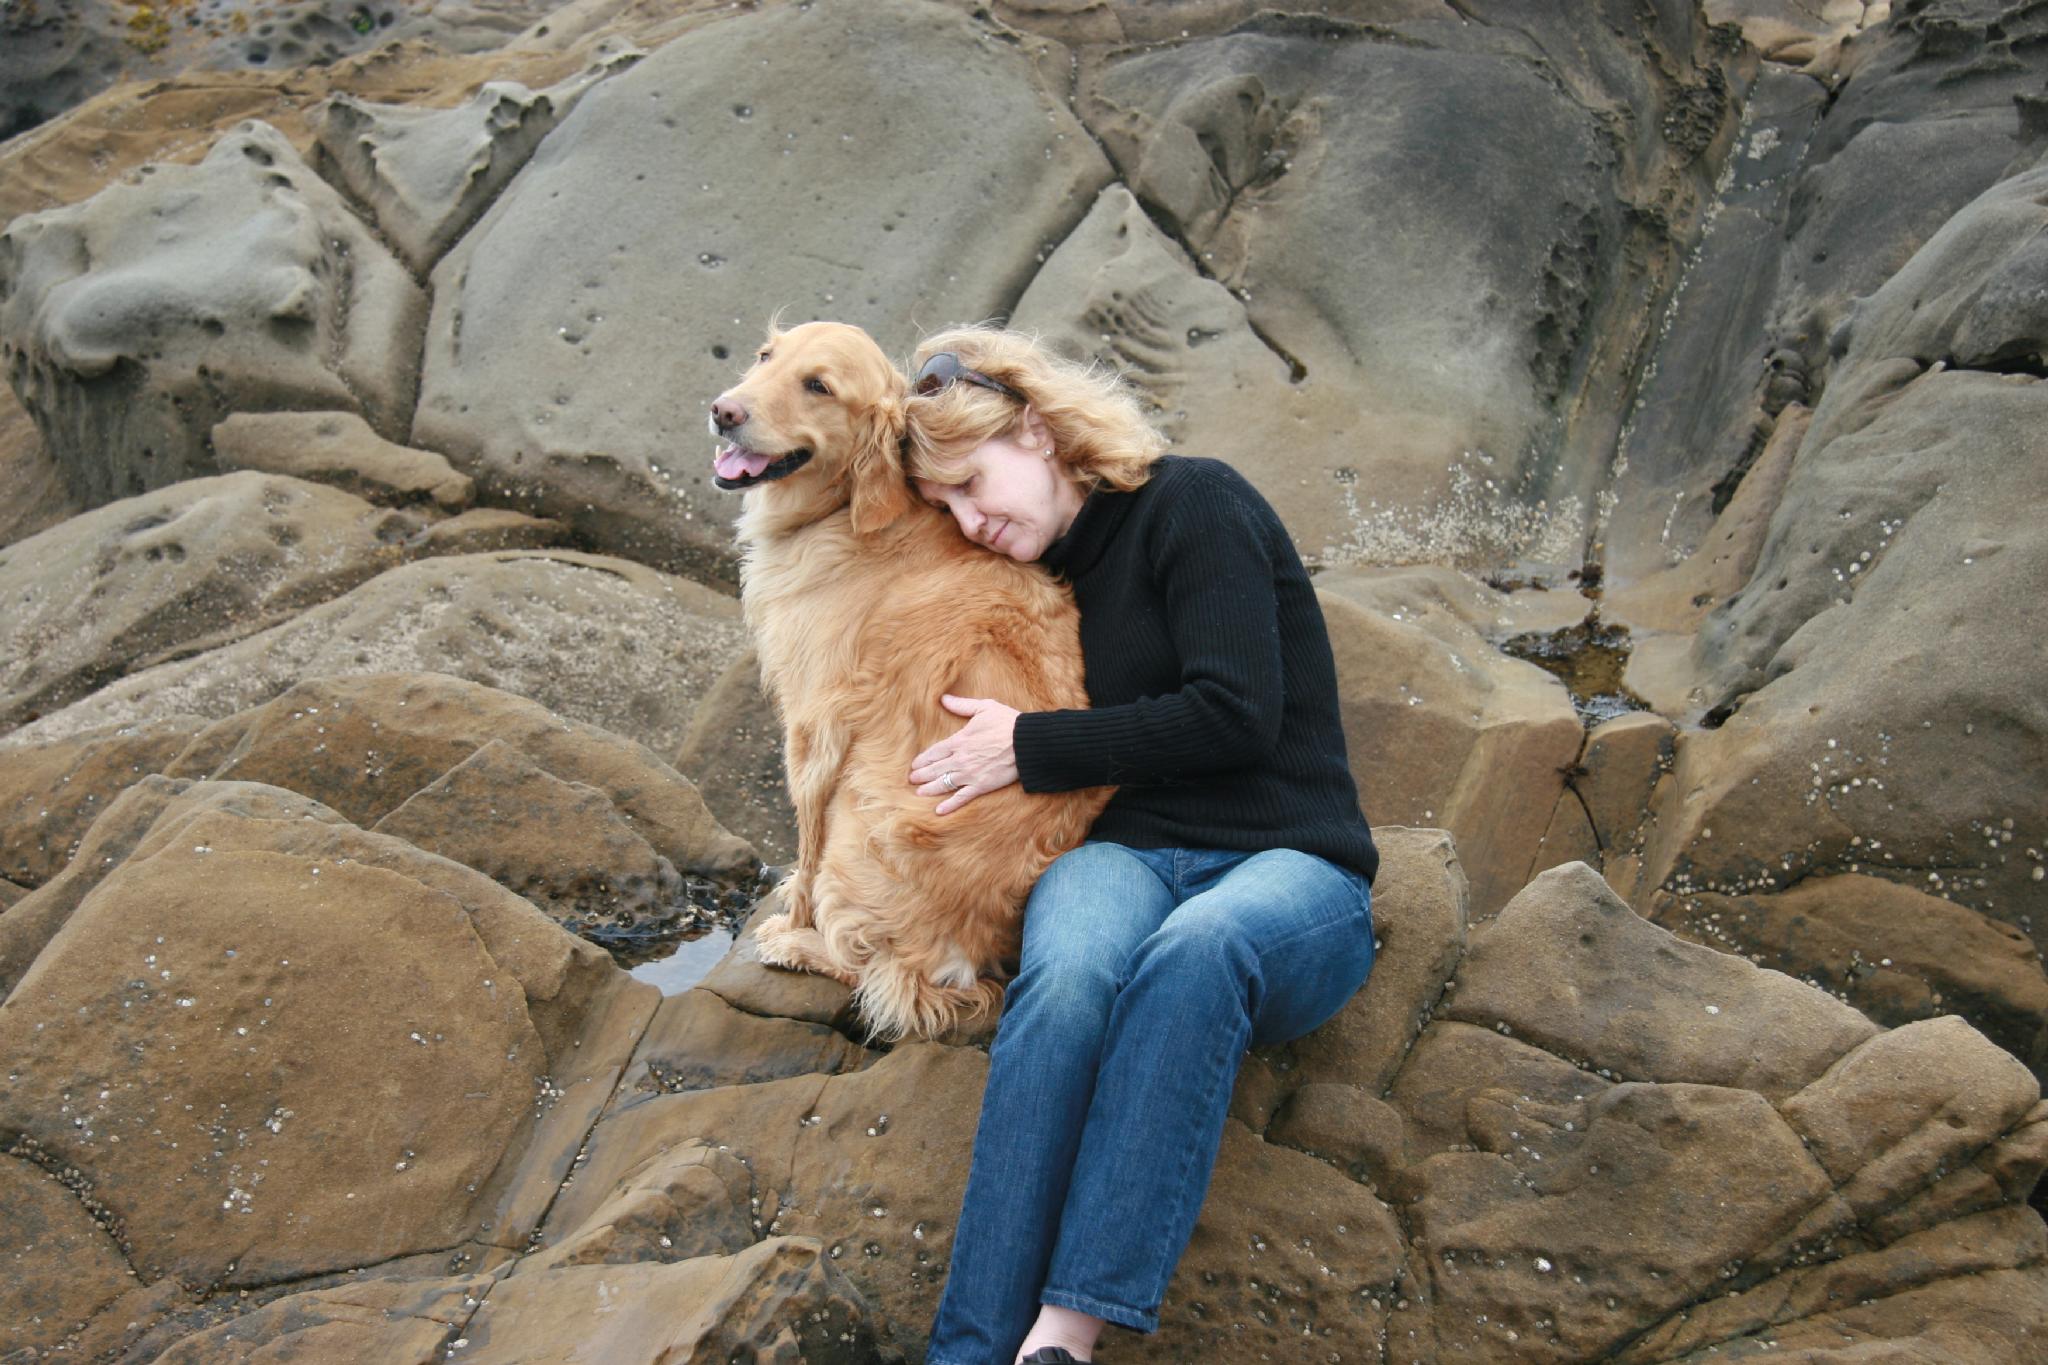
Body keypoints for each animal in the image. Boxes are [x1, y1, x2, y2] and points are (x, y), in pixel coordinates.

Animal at [708, 321, 1108, 1041]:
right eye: (765, 358)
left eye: (819, 386)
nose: (724, 411)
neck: (849, 511)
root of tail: (968, 961)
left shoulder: (814, 726)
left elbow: (804, 845)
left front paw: (792, 911)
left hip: (860, 810)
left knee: (878, 973)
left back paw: (799, 944)